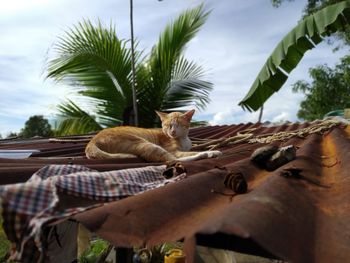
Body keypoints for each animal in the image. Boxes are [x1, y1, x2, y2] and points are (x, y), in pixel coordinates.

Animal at [85, 110, 221, 163]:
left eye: (179, 125)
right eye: (168, 125)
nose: (172, 132)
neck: (183, 139)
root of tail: (92, 141)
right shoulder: (175, 151)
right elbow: (189, 153)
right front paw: (211, 151)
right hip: (143, 143)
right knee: (171, 160)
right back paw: (206, 154)